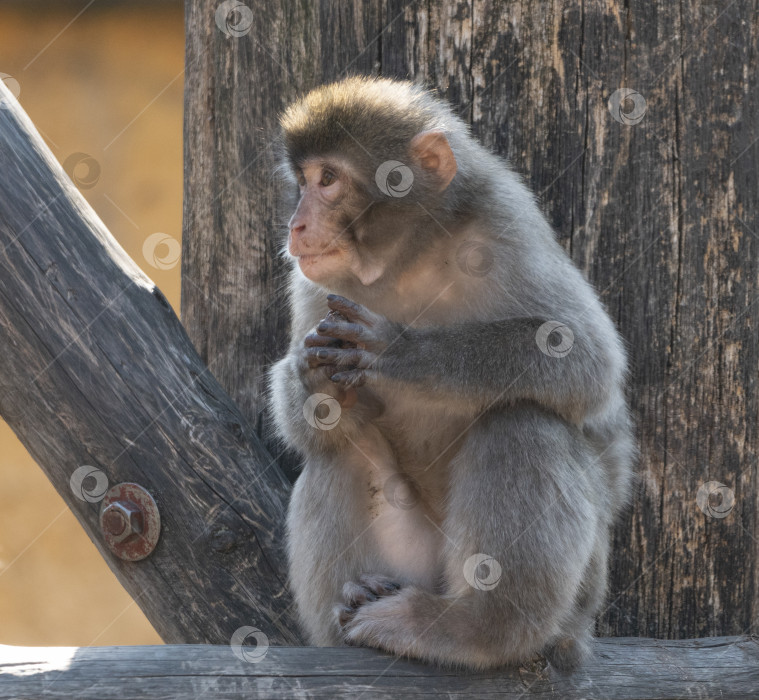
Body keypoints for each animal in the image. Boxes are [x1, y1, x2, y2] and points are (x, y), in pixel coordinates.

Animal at [268, 76, 636, 672]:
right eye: (301, 182)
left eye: (327, 180)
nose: (297, 225)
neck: (408, 259)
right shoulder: (312, 282)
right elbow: (317, 420)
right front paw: (311, 379)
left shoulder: (505, 224)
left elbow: (586, 362)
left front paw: (401, 353)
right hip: (413, 562)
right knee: (340, 450)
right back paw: (355, 601)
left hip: (580, 596)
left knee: (523, 424)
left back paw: (472, 629)